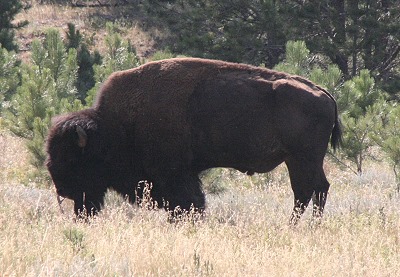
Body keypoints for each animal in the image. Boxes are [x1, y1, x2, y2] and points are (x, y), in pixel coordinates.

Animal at [46, 57, 340, 222]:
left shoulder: (175, 175)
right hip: (302, 160)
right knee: (318, 189)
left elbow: (189, 203)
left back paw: (293, 227)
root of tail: (323, 92)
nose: (63, 190)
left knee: (305, 192)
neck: (114, 127)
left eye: (72, 159)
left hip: (302, 159)